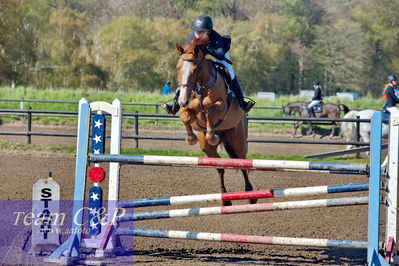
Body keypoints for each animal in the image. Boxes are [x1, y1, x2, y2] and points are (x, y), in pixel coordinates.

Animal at [175, 37, 256, 206]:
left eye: (195, 69)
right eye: (178, 68)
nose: (182, 100)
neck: (200, 86)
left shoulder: (221, 107)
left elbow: (210, 111)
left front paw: (211, 135)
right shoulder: (188, 110)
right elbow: (186, 116)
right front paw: (191, 137)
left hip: (238, 140)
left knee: (242, 162)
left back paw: (251, 194)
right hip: (208, 149)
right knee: (220, 167)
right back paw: (225, 198)